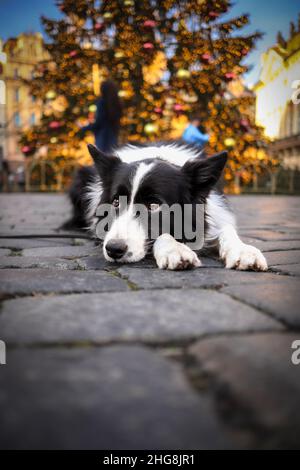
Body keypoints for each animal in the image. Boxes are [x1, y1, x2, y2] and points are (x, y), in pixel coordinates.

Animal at [67, 141, 268, 270]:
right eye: (116, 202)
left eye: (154, 205)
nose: (114, 249)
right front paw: (175, 249)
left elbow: (227, 230)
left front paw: (243, 251)